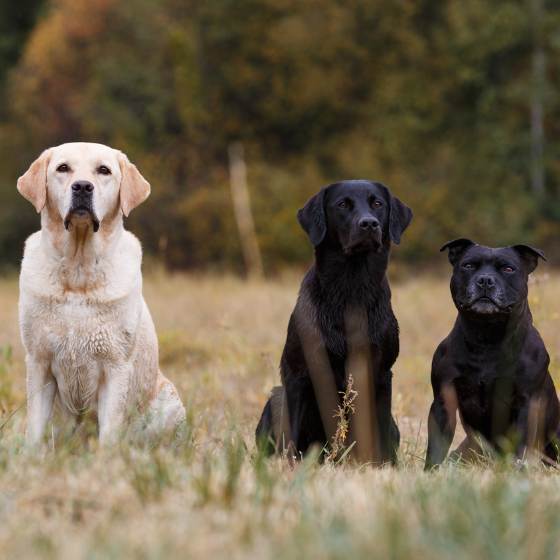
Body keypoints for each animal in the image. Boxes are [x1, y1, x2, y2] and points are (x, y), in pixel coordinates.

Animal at [17, 142, 186, 444]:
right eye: (63, 168)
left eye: (104, 170)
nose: (83, 187)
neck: (78, 271)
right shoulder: (38, 362)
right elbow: (35, 429)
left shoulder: (115, 366)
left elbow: (109, 432)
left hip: (169, 403)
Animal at [258, 179, 412, 464]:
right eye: (342, 205)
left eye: (377, 203)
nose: (369, 223)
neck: (351, 290)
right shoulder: (297, 373)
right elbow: (291, 434)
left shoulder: (382, 373)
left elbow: (380, 431)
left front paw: (384, 466)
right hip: (274, 399)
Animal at [426, 238, 556, 466]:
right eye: (468, 266)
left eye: (508, 268)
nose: (485, 280)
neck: (487, 337)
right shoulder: (443, 401)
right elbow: (436, 446)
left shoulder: (526, 402)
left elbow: (520, 446)